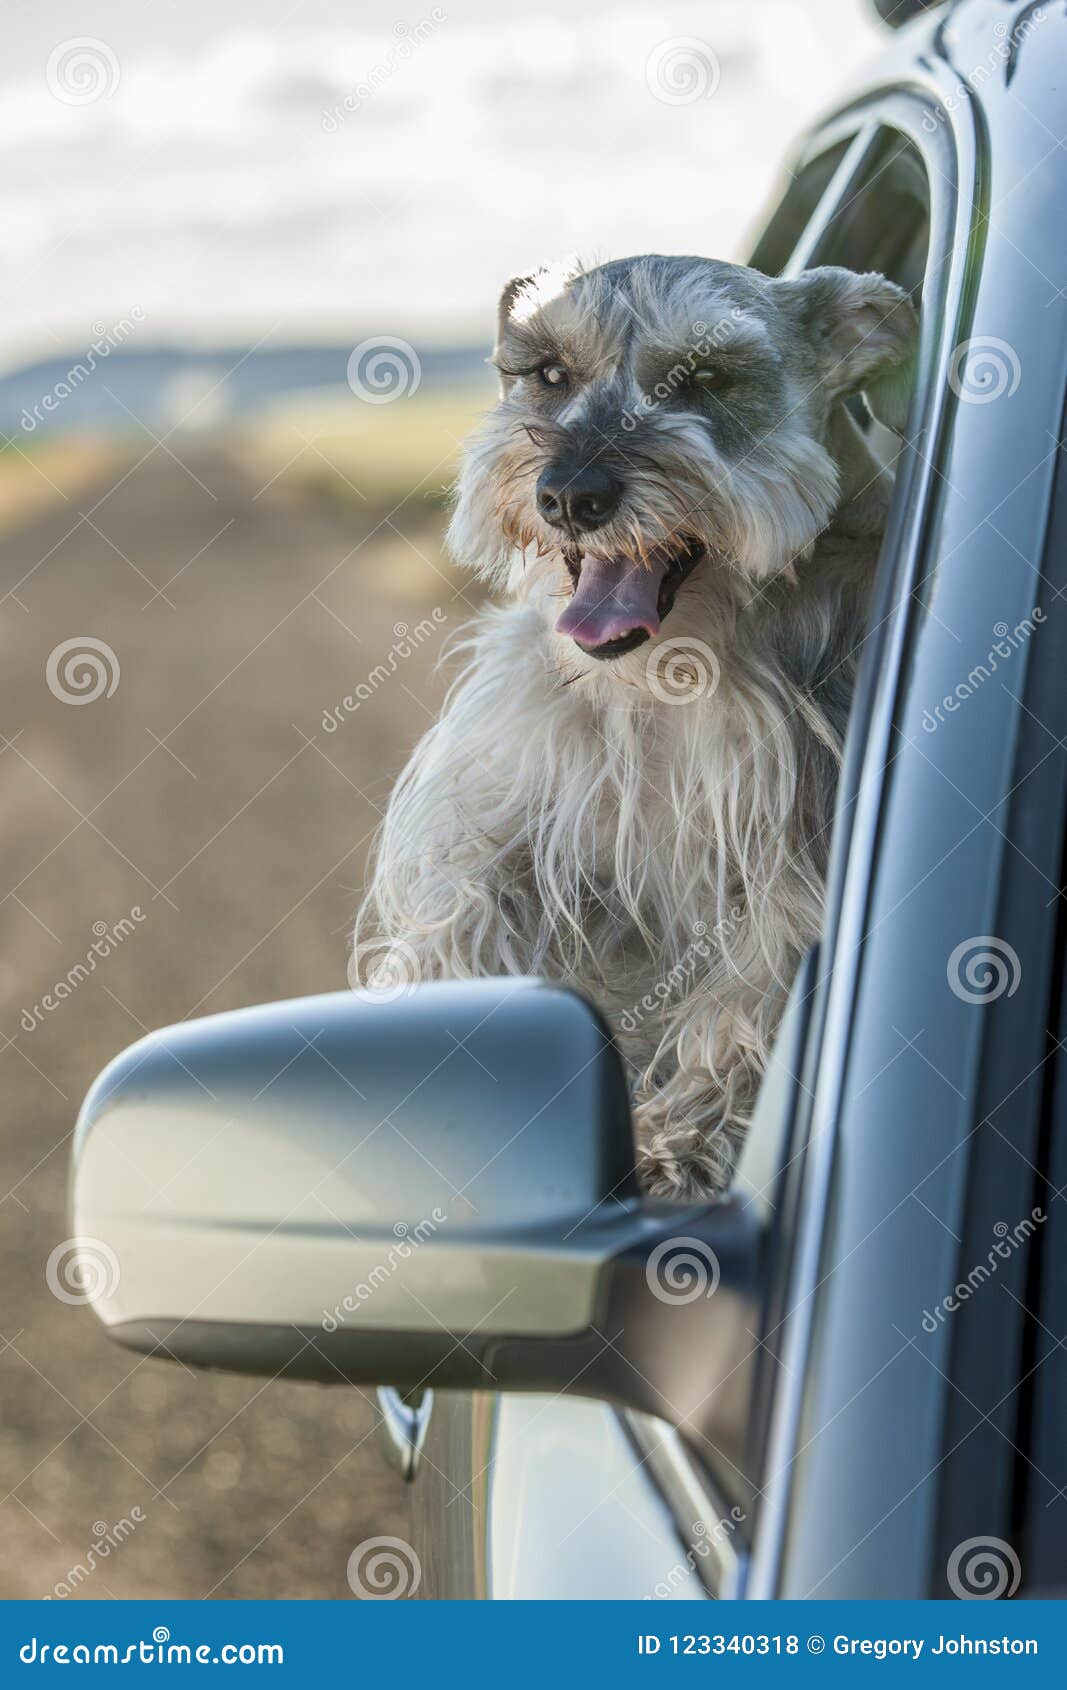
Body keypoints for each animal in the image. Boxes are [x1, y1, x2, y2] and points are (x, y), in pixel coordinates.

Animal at [353, 253, 919, 1203]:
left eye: (707, 378)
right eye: (548, 373)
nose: (569, 495)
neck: (666, 674)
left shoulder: (790, 853)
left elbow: (746, 997)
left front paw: (682, 1140)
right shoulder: (510, 800)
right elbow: (463, 901)